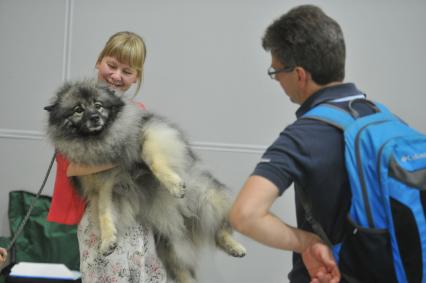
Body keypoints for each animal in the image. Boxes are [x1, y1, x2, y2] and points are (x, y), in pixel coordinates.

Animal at [44, 80, 246, 283]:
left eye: (98, 105)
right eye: (78, 110)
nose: (94, 117)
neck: (100, 141)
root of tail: (186, 224)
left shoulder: (147, 133)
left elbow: (152, 158)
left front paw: (174, 185)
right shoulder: (103, 188)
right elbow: (104, 212)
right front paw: (108, 240)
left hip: (209, 197)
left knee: (220, 228)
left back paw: (235, 247)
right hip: (171, 247)